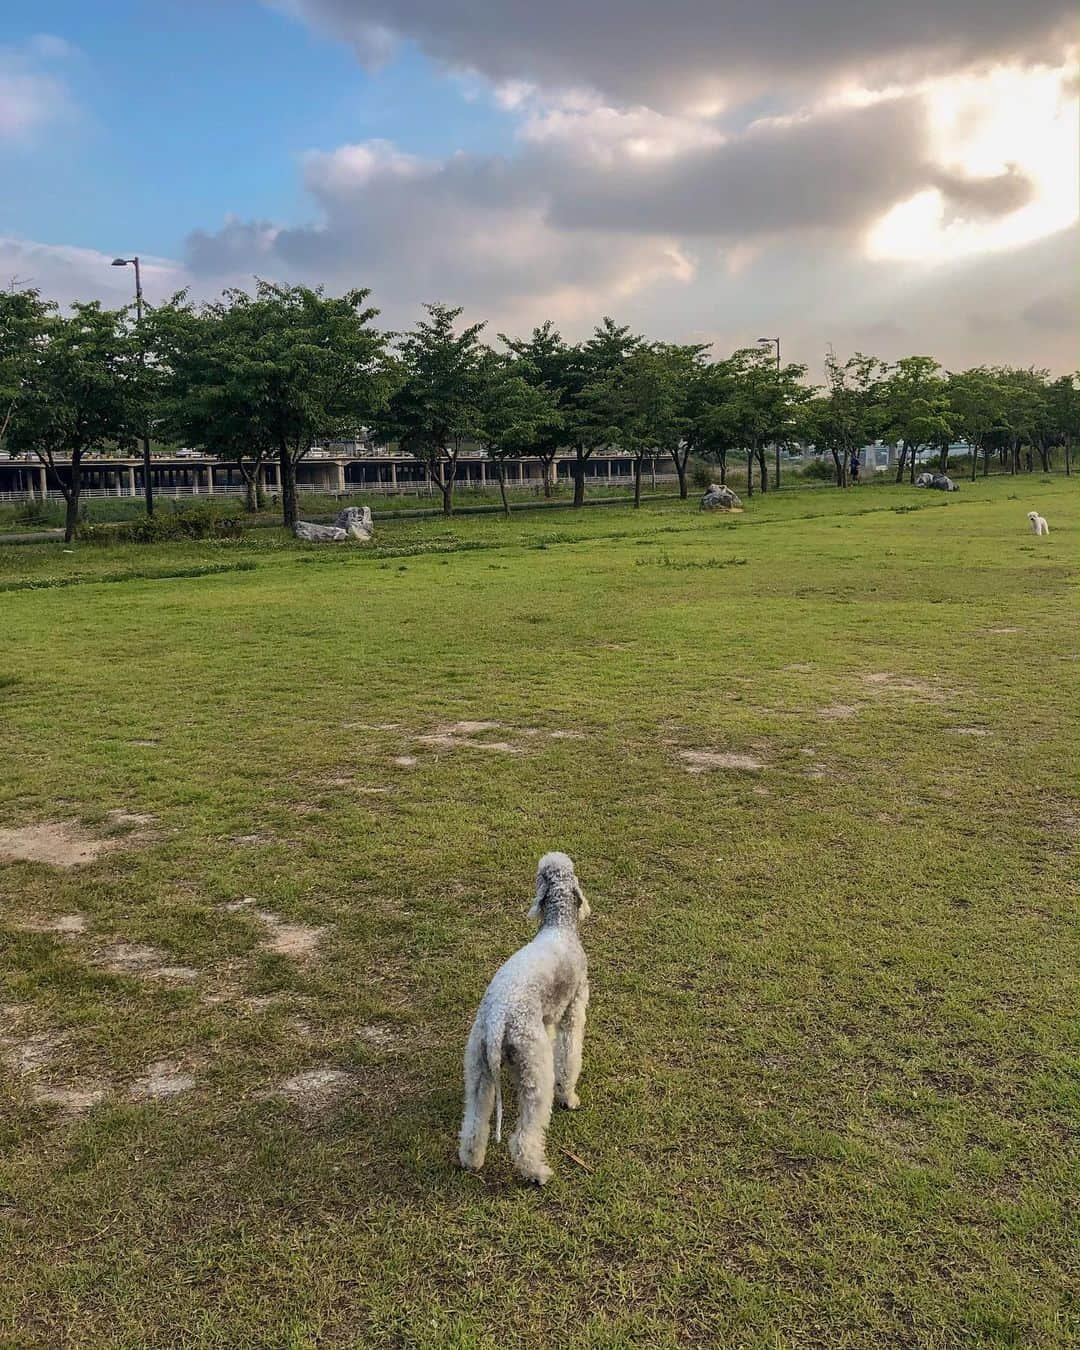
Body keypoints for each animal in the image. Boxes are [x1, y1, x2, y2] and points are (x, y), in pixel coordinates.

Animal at [456, 853, 591, 1182]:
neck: (559, 926)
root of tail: (497, 1022)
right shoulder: (573, 1010)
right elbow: (569, 1057)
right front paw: (569, 1097)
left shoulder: (548, 1019)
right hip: (534, 1068)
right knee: (523, 1137)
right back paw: (537, 1172)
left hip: (477, 1064)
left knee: (474, 1125)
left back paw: (471, 1161)